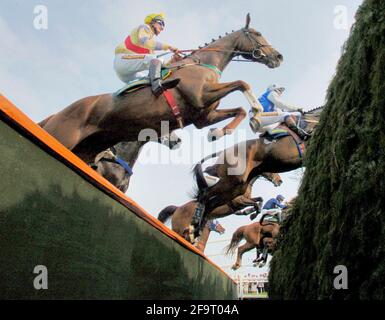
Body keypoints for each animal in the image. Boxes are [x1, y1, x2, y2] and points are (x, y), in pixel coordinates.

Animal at [38, 14, 282, 165]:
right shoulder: (199, 96)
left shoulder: (203, 116)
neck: (203, 63)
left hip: (85, 149)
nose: (278, 56)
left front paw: (220, 132)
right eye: (257, 33)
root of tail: (57, 113)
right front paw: (258, 113)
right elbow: (242, 83)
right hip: (62, 136)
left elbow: (237, 111)